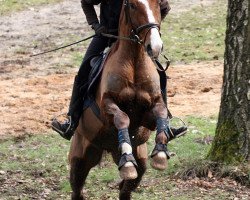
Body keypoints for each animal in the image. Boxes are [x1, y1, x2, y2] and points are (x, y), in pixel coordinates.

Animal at [68, 0, 174, 199]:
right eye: (132, 5)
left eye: (158, 4)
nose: (155, 47)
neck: (134, 62)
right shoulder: (106, 106)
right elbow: (122, 118)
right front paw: (127, 160)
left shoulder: (149, 114)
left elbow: (161, 112)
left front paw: (161, 154)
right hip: (80, 158)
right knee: (77, 188)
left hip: (140, 160)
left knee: (128, 187)